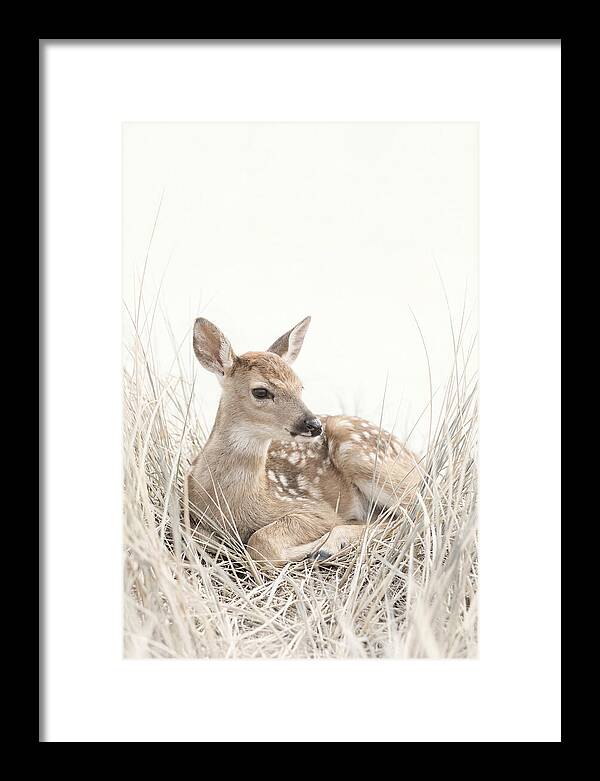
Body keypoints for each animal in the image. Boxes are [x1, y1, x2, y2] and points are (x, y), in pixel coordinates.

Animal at [185, 316, 421, 565]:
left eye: (300, 387)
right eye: (260, 391)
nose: (314, 424)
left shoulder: (314, 508)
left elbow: (261, 543)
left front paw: (313, 548)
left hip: (361, 455)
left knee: (415, 512)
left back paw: (328, 546)